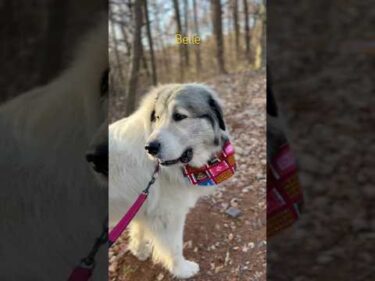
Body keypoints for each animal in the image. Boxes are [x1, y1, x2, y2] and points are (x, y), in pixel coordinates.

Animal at [108, 83, 232, 278]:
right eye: (157, 118)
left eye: (179, 116)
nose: (149, 148)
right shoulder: (168, 215)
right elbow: (174, 247)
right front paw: (182, 270)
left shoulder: (143, 207)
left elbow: (139, 230)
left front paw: (139, 251)